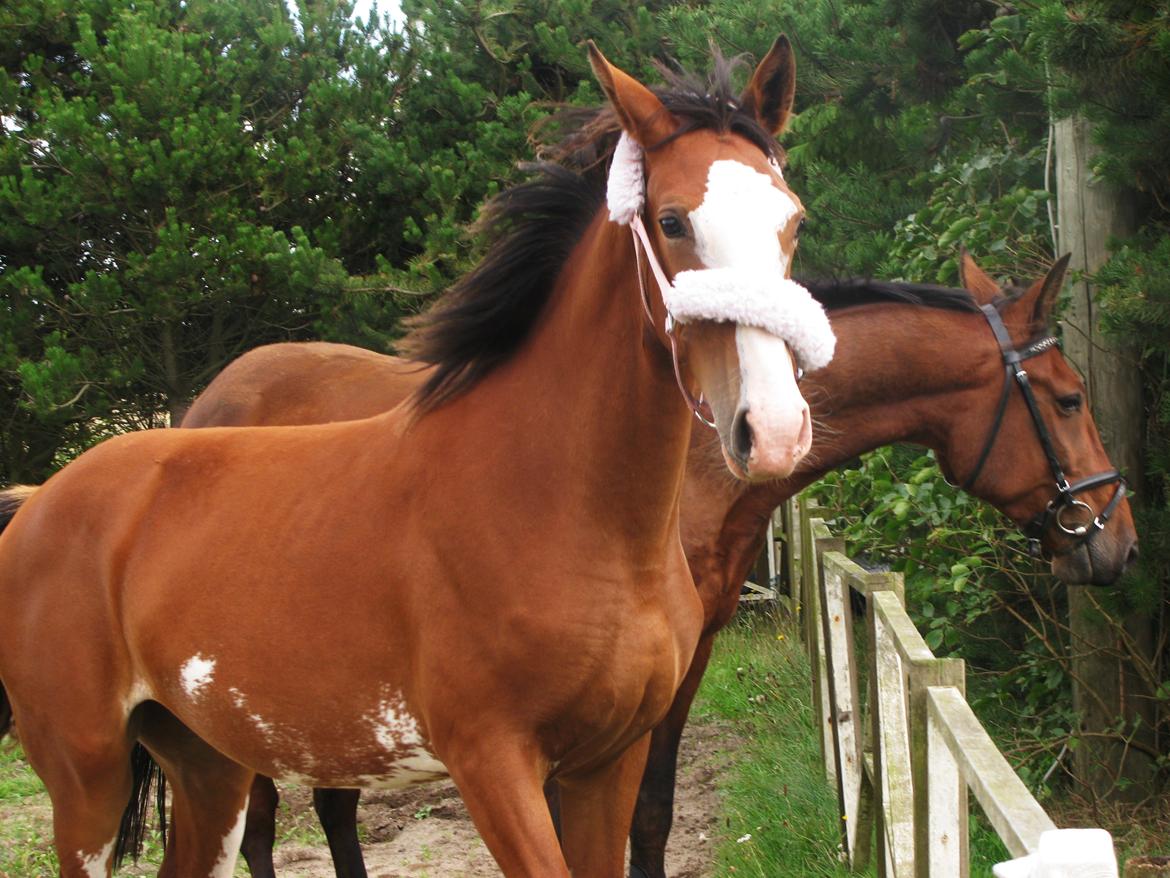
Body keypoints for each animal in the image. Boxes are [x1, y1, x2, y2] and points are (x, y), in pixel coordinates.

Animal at [0, 37, 842, 875]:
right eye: (671, 221)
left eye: (794, 219)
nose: (772, 428)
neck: (559, 508)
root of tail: (38, 502)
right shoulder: (492, 763)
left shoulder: (611, 760)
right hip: (88, 778)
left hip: (208, 766)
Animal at [182, 249, 1132, 878]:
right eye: (1069, 399)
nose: (1115, 539)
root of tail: (205, 403)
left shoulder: (682, 661)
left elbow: (652, 813)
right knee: (264, 826)